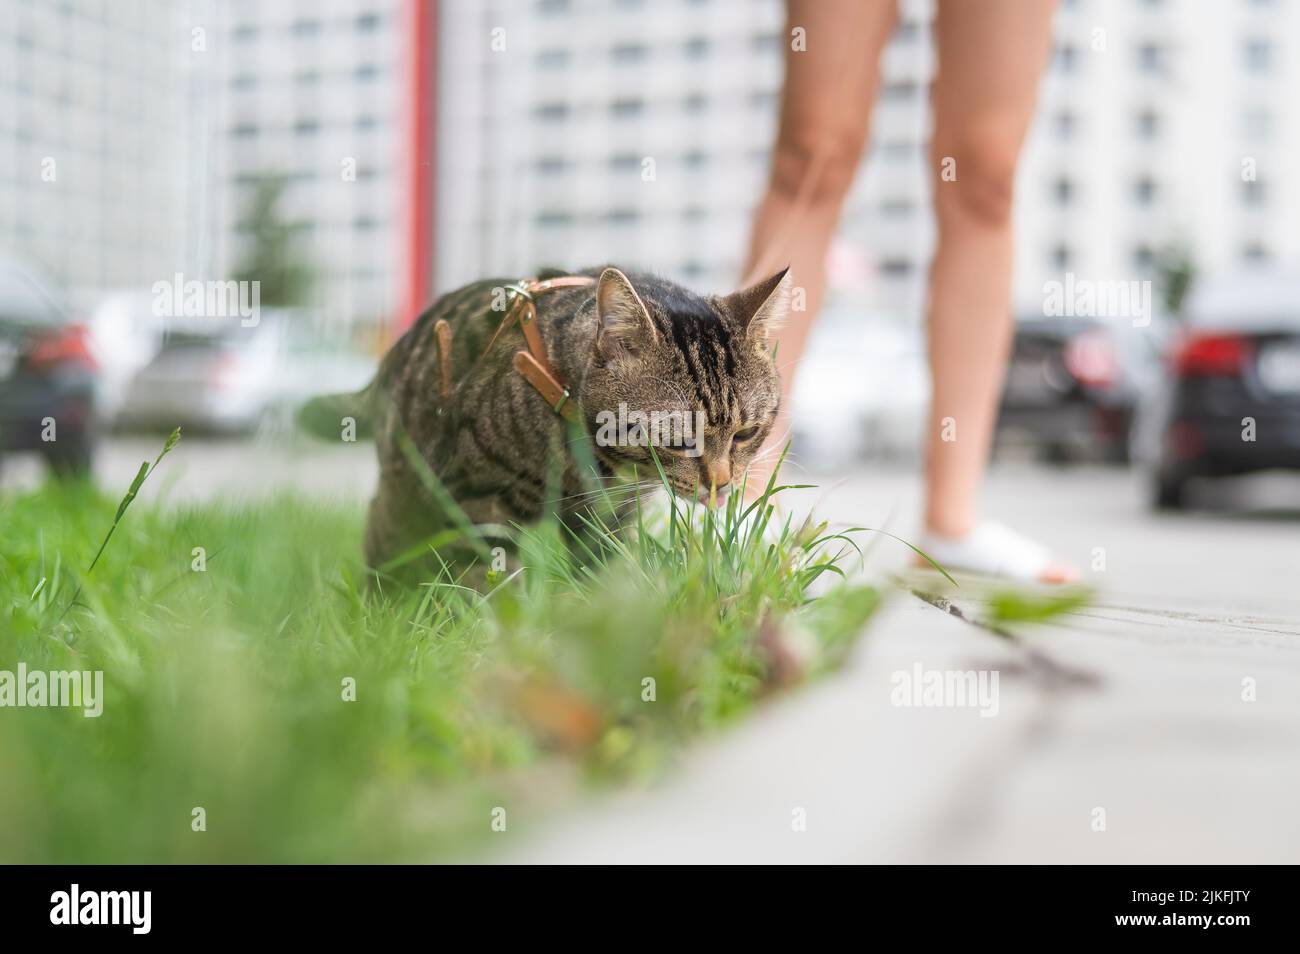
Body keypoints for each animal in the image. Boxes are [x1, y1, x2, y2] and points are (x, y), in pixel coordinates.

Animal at [304, 267, 790, 582]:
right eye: (677, 439)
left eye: (746, 433)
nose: (721, 483)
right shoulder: (479, 504)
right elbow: (489, 585)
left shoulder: (610, 521)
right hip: (413, 492)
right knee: (383, 535)